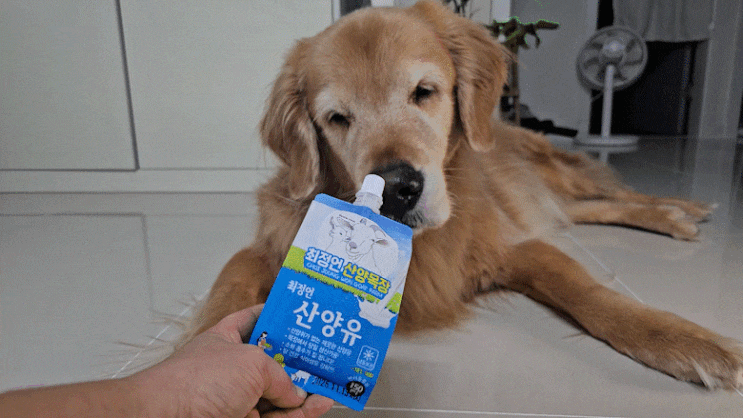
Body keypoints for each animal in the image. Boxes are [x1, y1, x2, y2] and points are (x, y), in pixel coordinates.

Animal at [185, 1, 743, 390]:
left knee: (604, 195)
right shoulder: (270, 247)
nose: (398, 189)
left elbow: (590, 293)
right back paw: (676, 215)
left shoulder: (516, 248)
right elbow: (228, 288)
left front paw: (684, 341)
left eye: (424, 92)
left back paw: (682, 209)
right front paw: (200, 360)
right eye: (337, 118)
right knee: (589, 210)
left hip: (551, 175)